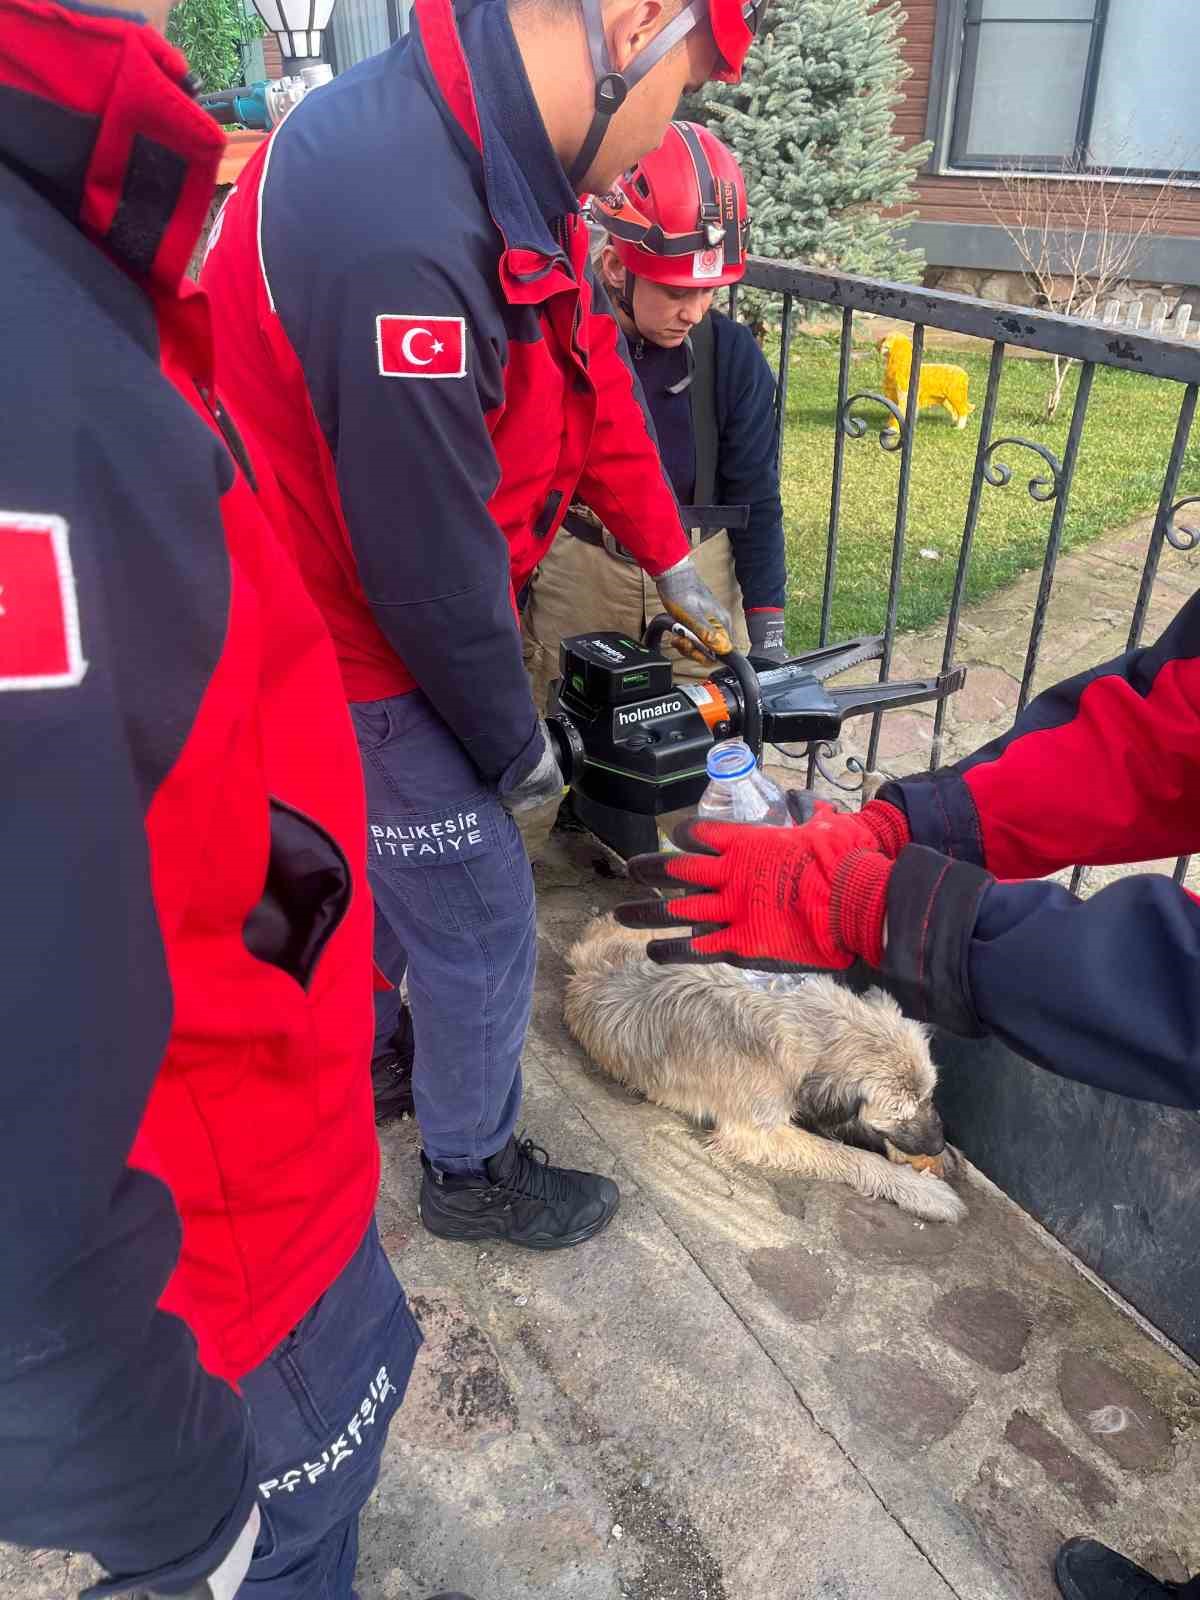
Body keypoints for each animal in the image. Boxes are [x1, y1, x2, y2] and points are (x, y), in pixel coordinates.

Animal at [569, 915, 972, 1222]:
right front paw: (919, 1189)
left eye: (930, 1096)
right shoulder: (754, 1132)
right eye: (900, 1112)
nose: (938, 1143)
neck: (811, 1024)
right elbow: (847, 1155)